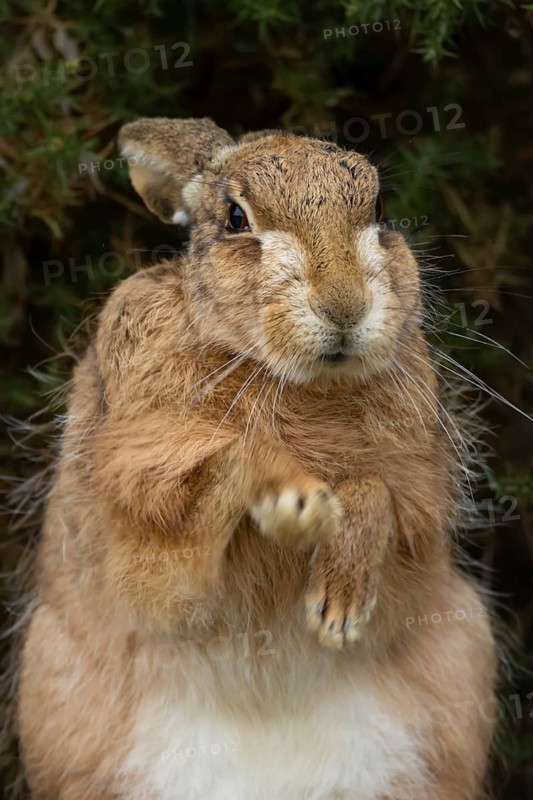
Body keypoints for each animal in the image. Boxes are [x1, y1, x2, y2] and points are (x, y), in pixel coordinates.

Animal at [16, 117, 497, 800]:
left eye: (379, 209)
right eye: (236, 218)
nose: (344, 306)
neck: (283, 376)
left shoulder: (416, 532)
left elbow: (375, 491)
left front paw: (339, 605)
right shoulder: (147, 544)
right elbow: (232, 461)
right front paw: (293, 501)